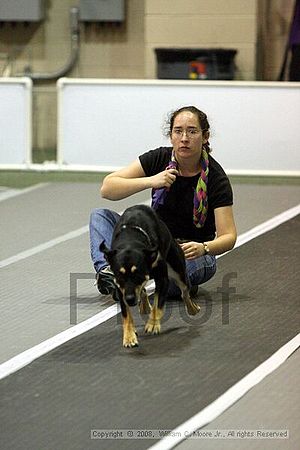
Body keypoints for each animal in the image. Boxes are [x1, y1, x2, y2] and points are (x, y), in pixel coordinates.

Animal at [99, 205, 200, 348]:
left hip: (178, 268)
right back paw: (145, 306)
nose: (130, 299)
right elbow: (126, 313)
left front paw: (152, 324)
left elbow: (158, 304)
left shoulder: (163, 279)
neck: (130, 238)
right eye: (120, 276)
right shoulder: (120, 288)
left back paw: (193, 309)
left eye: (138, 275)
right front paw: (129, 336)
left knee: (185, 291)